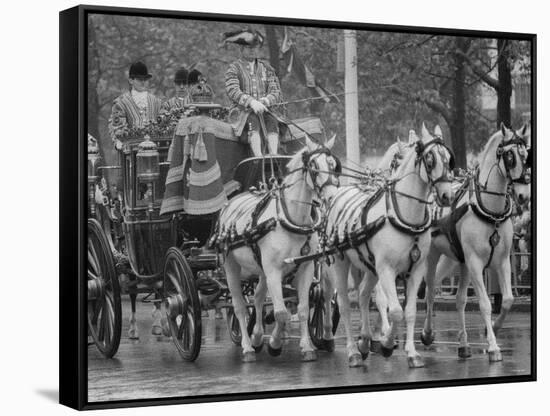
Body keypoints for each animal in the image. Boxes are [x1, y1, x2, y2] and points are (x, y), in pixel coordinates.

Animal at [216, 136, 340, 360]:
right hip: (231, 266)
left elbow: (302, 308)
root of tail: (231, 202)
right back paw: (248, 347)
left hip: (261, 268)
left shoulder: (305, 267)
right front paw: (274, 343)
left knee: (257, 297)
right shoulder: (273, 270)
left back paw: (257, 337)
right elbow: (280, 312)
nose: (332, 196)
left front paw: (306, 347)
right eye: (314, 166)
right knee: (239, 306)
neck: (290, 219)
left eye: (333, 165)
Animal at [322, 123, 454, 368]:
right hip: (340, 263)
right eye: (430, 159)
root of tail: (339, 192)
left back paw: (364, 341)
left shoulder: (415, 270)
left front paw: (411, 353)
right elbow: (394, 311)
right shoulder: (386, 269)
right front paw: (386, 344)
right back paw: (353, 351)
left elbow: (409, 311)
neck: (404, 217)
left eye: (449, 159)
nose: (446, 196)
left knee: (363, 295)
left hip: (369, 267)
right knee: (343, 304)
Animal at [422, 123, 536, 360]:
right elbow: (484, 304)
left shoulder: (502, 261)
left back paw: (464, 344)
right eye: (510, 156)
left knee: (458, 299)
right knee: (429, 290)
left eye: (526, 155)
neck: (490, 210)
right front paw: (493, 346)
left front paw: (493, 327)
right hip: (433, 255)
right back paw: (427, 333)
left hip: (458, 261)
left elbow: (508, 300)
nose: (523, 196)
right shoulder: (475, 262)